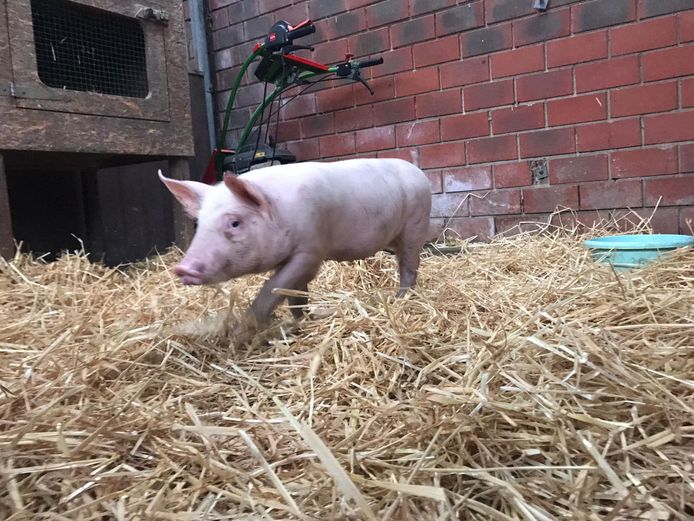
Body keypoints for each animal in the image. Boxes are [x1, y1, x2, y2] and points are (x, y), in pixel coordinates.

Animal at [162, 158, 432, 328]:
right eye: (199, 222)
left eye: (235, 223)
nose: (182, 268)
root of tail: (419, 172)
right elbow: (295, 293)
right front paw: (300, 320)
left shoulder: (310, 251)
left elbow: (275, 287)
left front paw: (244, 329)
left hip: (415, 226)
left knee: (409, 266)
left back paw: (400, 299)